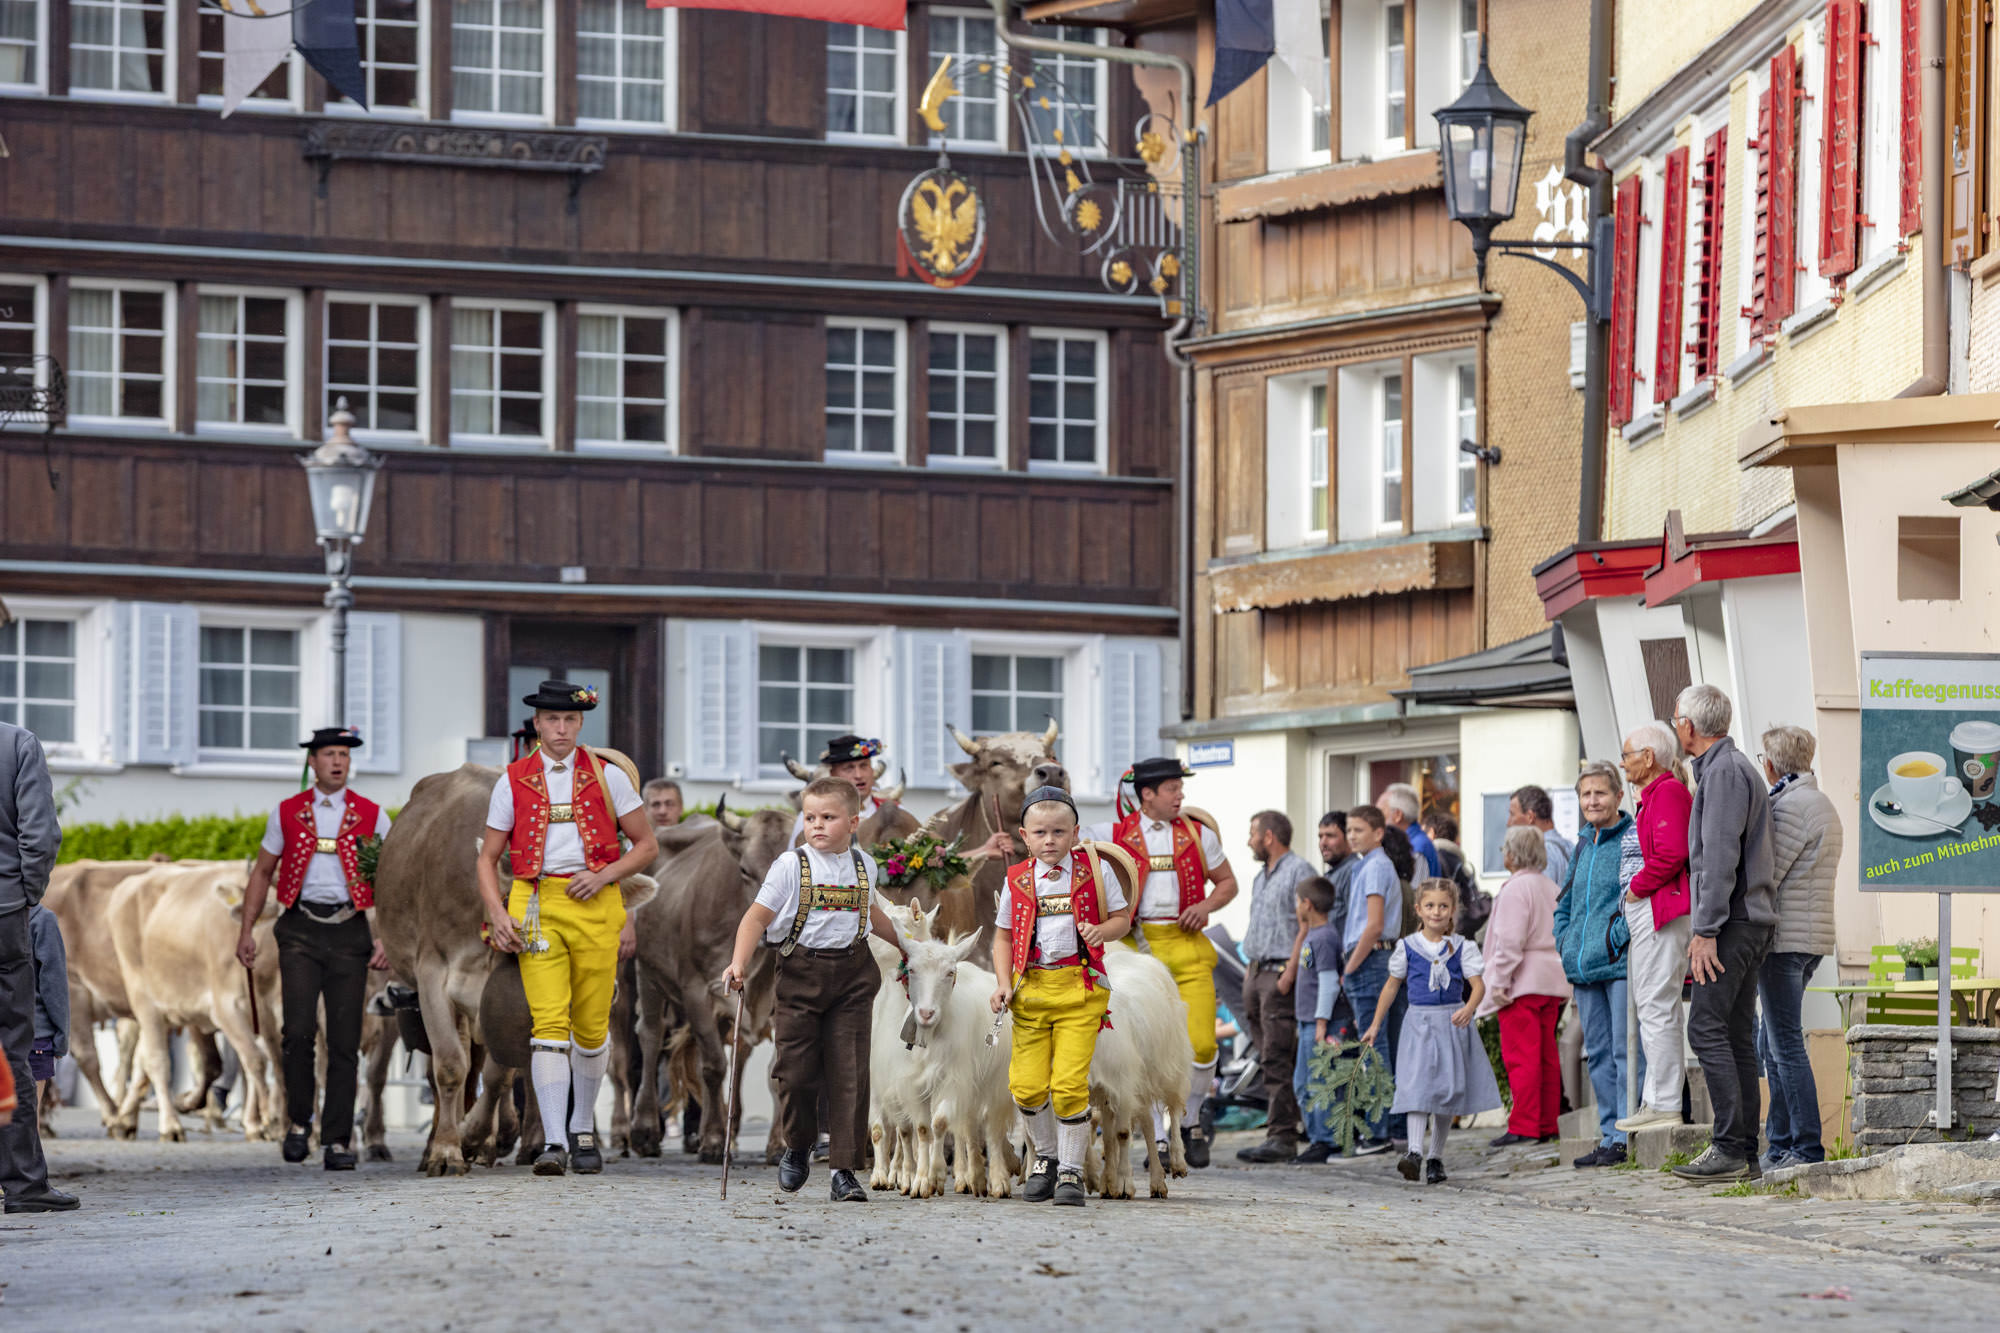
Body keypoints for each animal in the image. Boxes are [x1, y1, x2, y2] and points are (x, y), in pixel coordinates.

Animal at [104, 862, 283, 1143]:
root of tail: (131, 883)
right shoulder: (227, 1007)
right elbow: (256, 1060)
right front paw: (268, 1121)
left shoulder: (265, 1014)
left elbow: (256, 1063)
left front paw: (256, 1123)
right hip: (143, 999)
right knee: (157, 1062)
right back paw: (170, 1125)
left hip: (168, 1009)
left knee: (142, 1063)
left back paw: (125, 1119)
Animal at [626, 802, 793, 1162]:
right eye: (744, 870)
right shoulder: (697, 991)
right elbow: (714, 1066)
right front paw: (715, 1140)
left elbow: (776, 1070)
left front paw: (779, 1144)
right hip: (648, 974)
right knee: (650, 1038)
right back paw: (644, 1131)